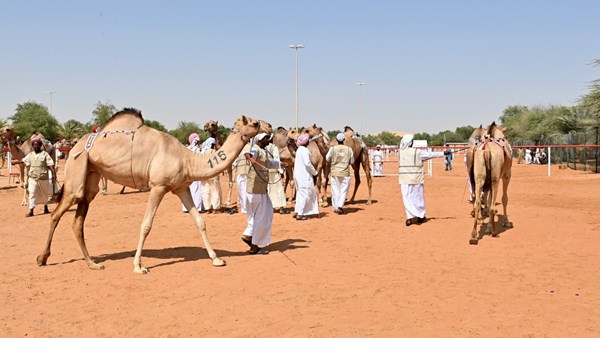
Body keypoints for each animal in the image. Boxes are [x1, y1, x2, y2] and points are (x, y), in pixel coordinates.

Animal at [34, 109, 264, 274]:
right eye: (253, 123)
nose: (268, 125)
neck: (188, 159)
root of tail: (74, 146)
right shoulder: (158, 186)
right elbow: (146, 225)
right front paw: (138, 266)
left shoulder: (181, 188)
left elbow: (200, 221)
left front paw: (216, 259)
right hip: (77, 168)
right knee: (58, 213)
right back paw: (42, 258)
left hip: (92, 174)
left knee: (78, 220)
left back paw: (93, 263)